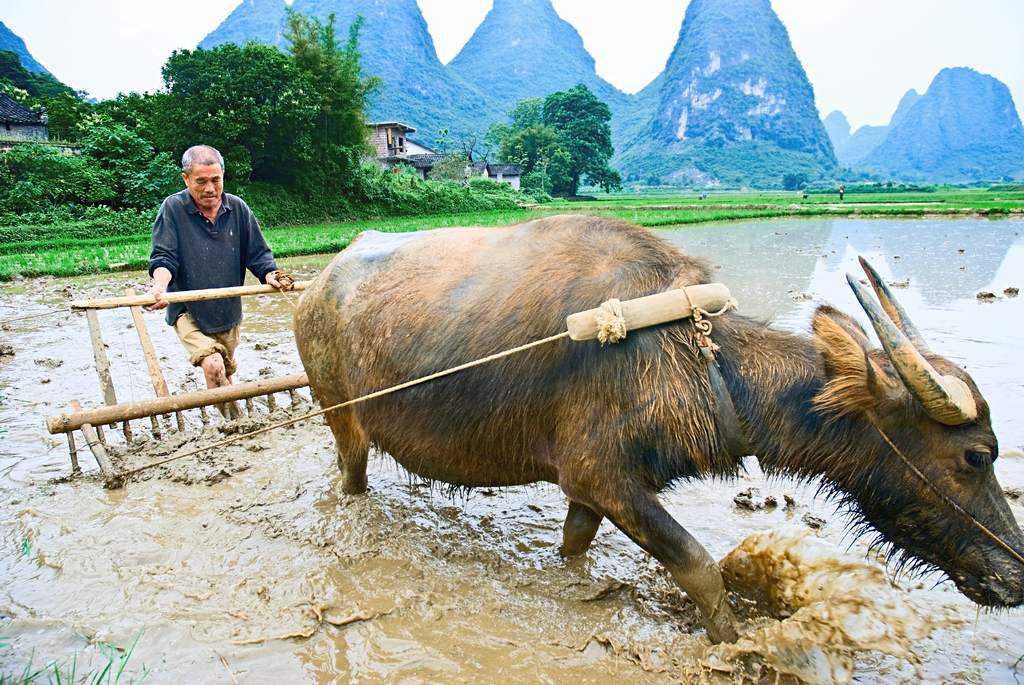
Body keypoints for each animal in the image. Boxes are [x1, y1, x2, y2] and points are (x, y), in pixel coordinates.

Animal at [292, 215, 1019, 643]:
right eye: (977, 455)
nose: (1015, 572)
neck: (699, 361)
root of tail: (316, 284)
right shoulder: (608, 479)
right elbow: (700, 567)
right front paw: (731, 640)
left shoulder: (588, 490)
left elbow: (576, 546)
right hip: (340, 417)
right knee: (350, 472)